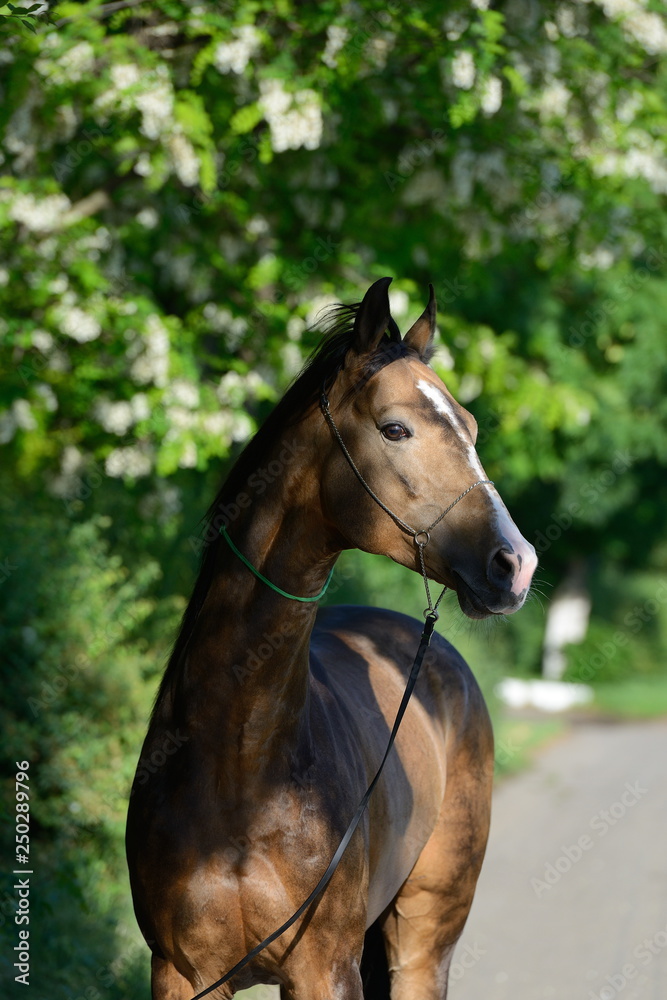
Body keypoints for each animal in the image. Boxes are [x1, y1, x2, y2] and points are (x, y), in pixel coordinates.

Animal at [126, 276, 537, 1000]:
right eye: (395, 428)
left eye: (470, 428)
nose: (516, 564)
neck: (240, 767)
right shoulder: (179, 974)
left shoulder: (326, 969)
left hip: (426, 939)